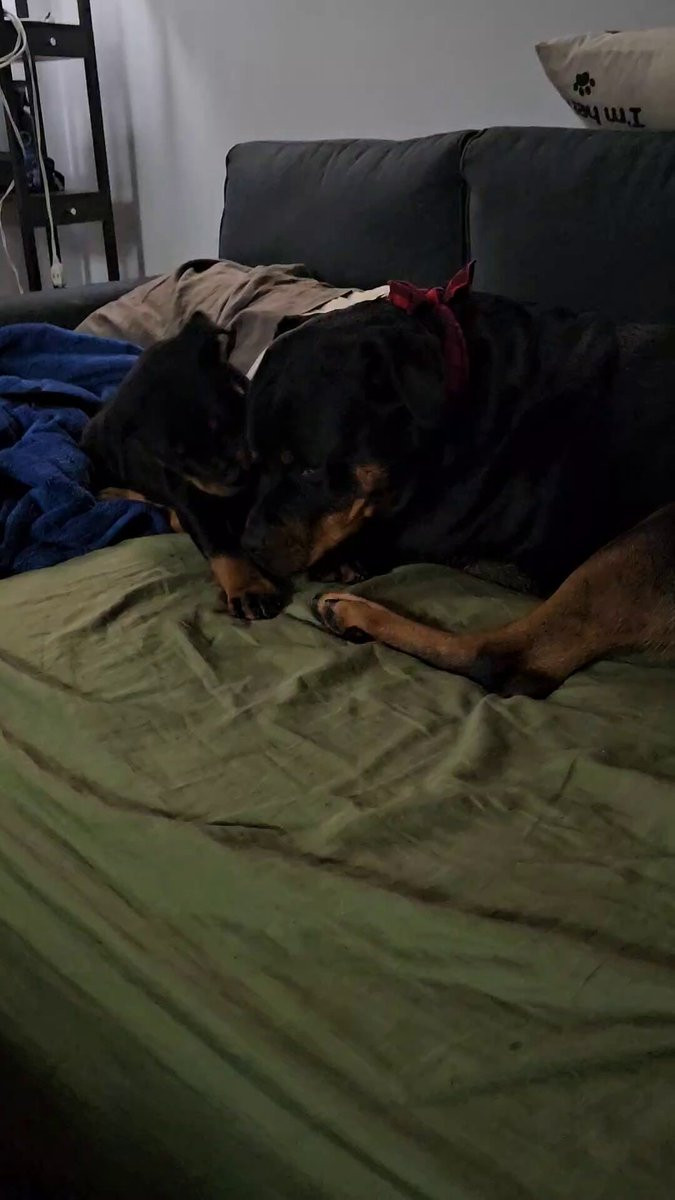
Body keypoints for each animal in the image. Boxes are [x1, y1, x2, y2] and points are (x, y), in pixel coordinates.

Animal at [82, 312, 285, 619]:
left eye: (230, 419)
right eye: (178, 457)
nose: (234, 476)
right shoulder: (191, 498)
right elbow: (220, 544)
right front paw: (249, 588)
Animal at [241, 268, 675, 696]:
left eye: (310, 469)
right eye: (254, 460)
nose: (250, 546)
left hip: (650, 538)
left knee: (502, 658)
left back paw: (354, 610)